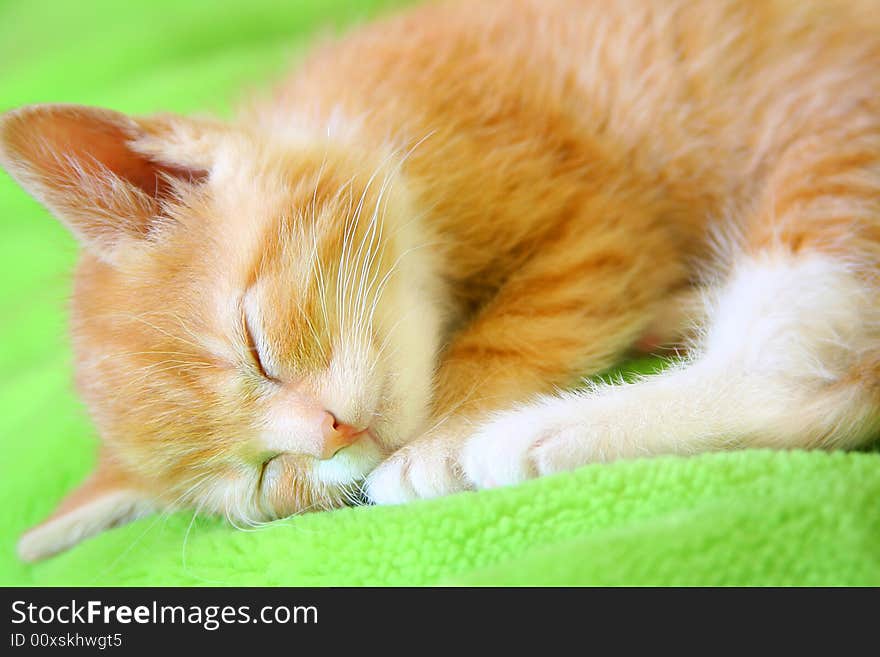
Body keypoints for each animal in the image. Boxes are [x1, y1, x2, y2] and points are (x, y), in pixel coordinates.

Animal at [1, 0, 880, 560]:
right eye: (263, 477)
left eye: (255, 344)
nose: (331, 433)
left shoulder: (595, 222)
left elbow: (528, 318)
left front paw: (442, 434)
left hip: (836, 139)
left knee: (799, 368)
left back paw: (532, 435)